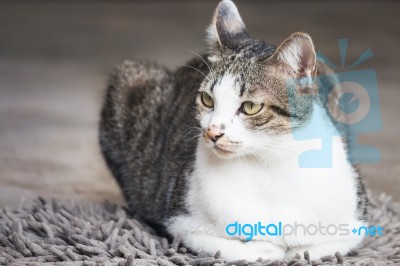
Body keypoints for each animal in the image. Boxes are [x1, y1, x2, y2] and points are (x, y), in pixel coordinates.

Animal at [98, 0, 368, 262]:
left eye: (250, 107)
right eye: (207, 100)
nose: (212, 132)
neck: (268, 163)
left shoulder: (356, 222)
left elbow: (317, 248)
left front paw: (296, 250)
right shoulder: (182, 221)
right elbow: (234, 249)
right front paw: (269, 249)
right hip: (129, 77)